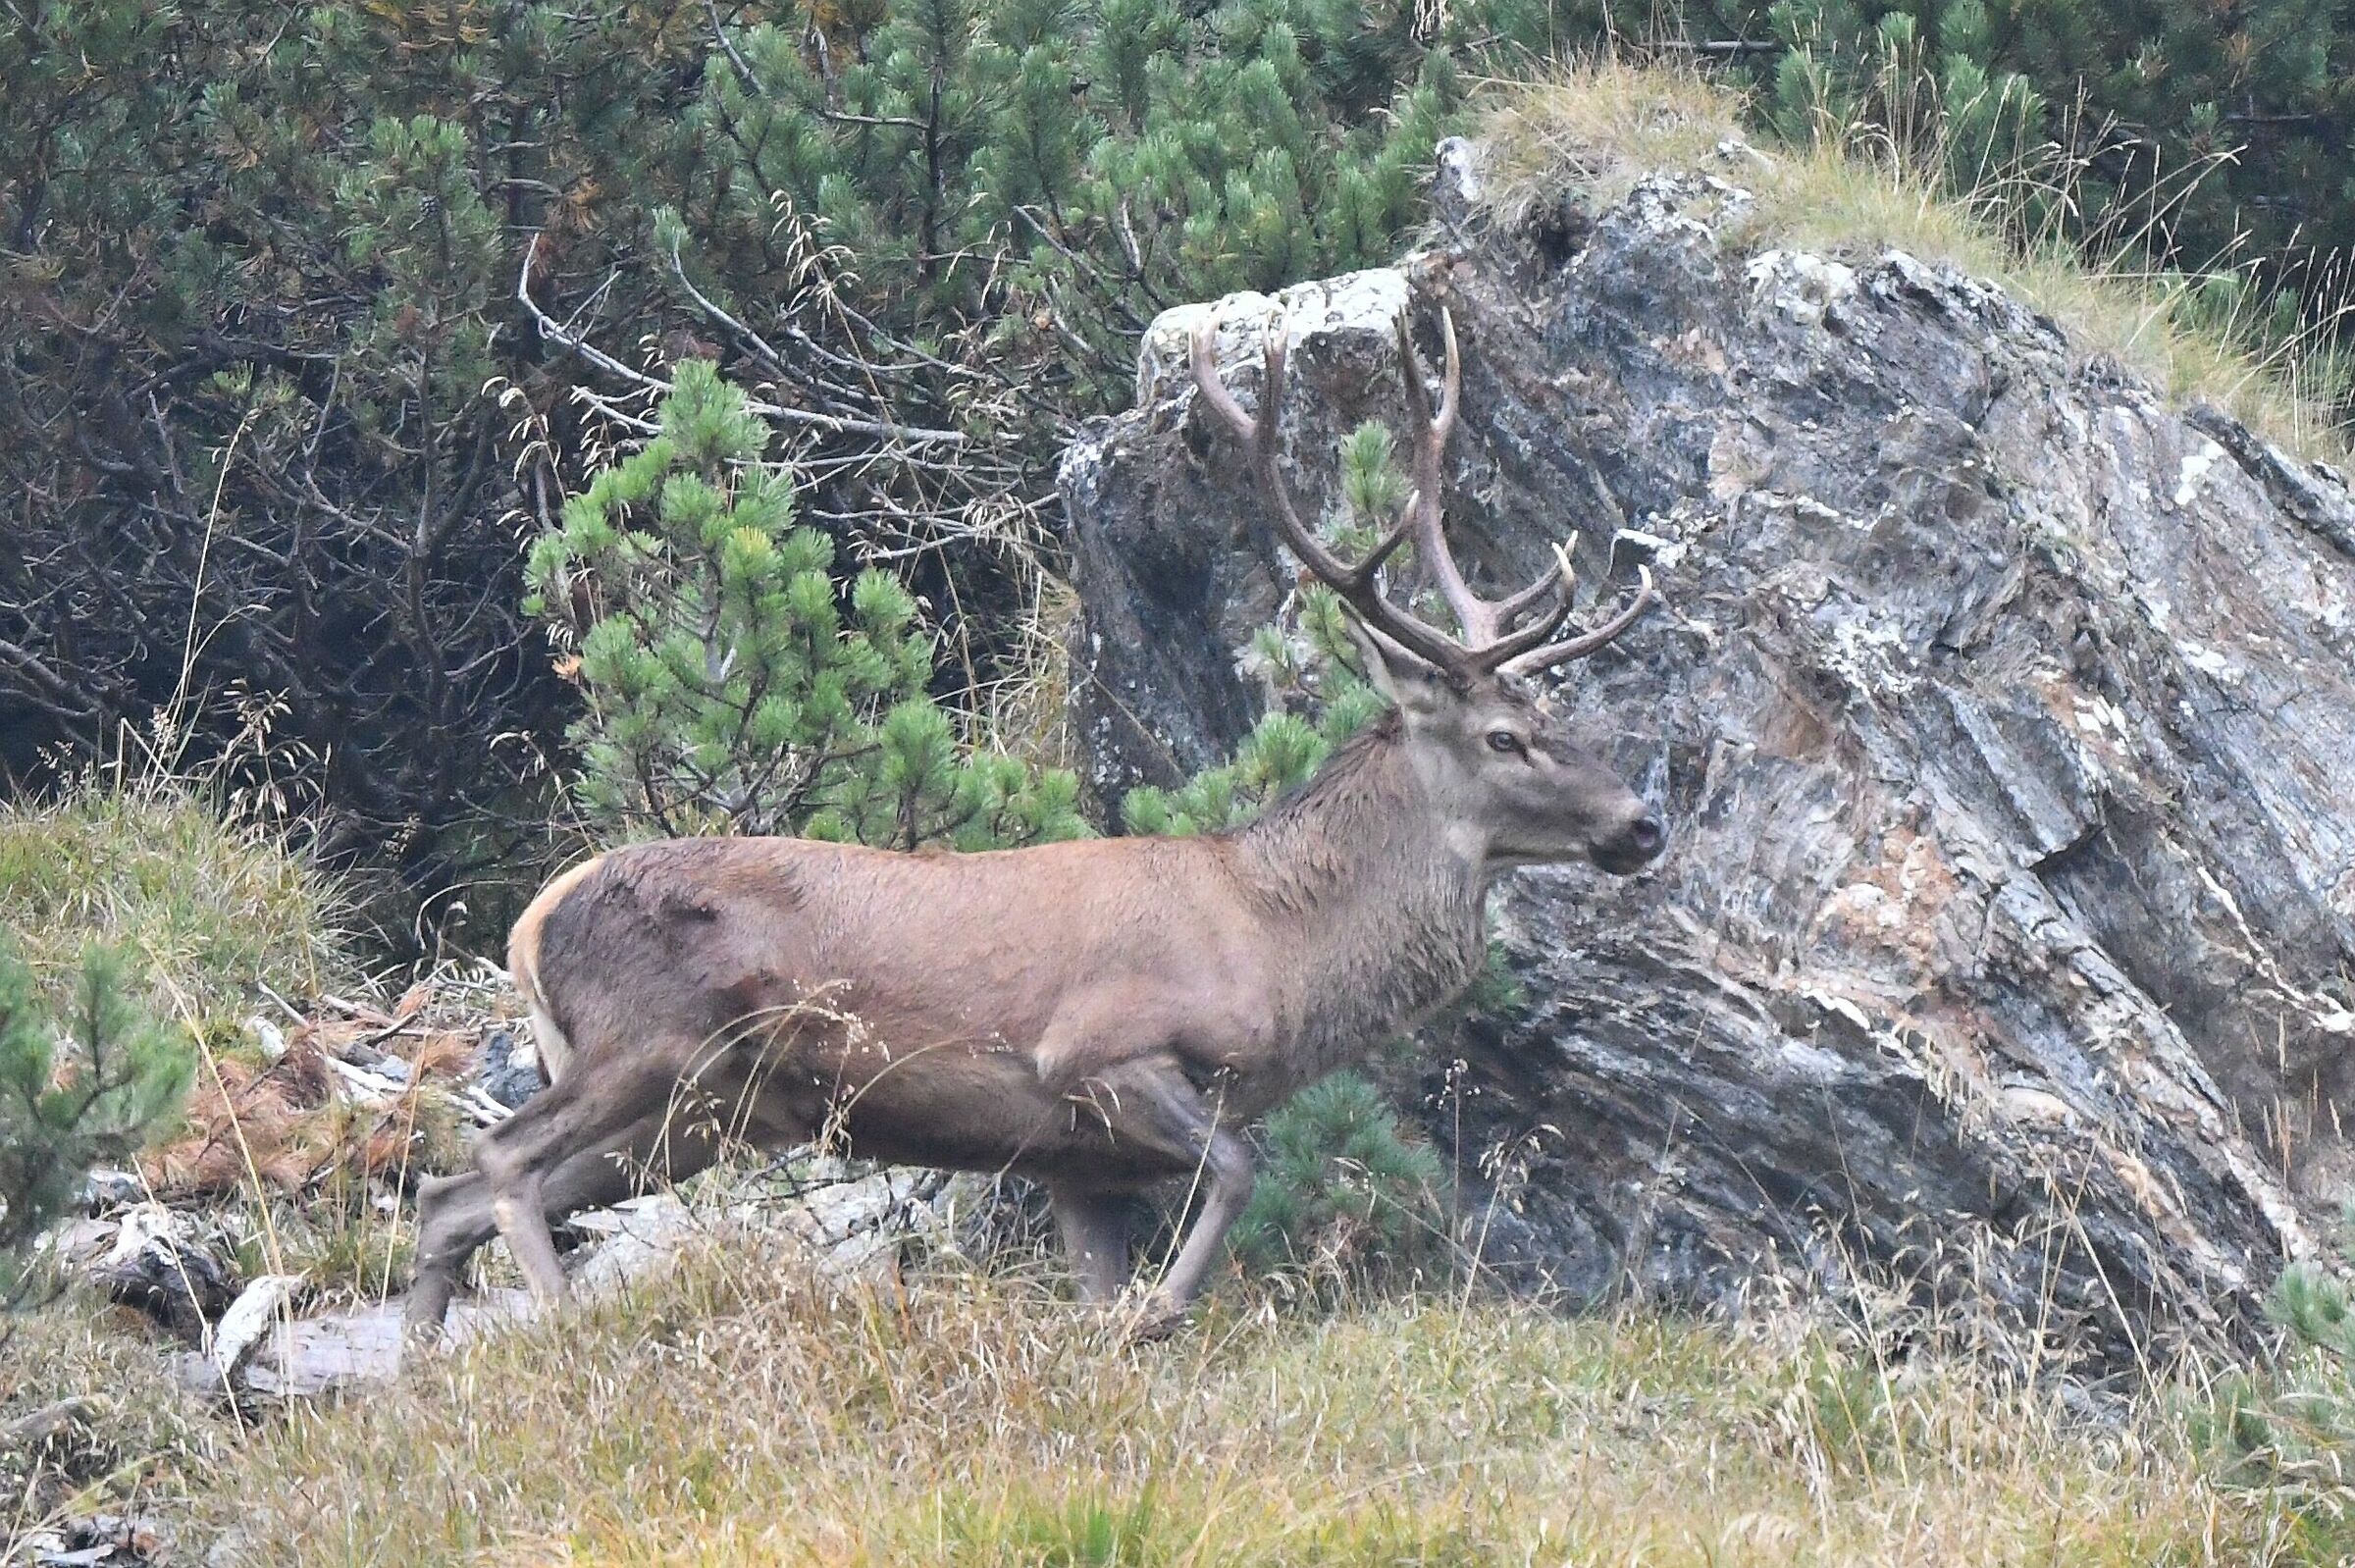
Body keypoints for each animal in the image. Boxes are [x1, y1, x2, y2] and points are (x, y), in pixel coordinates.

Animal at [402, 305, 1664, 1338]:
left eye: (1551, 713)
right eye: (1504, 736)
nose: (1641, 824)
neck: (1271, 947)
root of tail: (531, 920)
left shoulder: (1073, 1162)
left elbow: (1112, 1269)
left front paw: (1126, 1327)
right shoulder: (1098, 1050)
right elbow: (1239, 1167)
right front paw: (1161, 1311)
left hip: (701, 1109)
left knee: (443, 1196)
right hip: (642, 1043)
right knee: (492, 1161)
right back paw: (566, 1332)